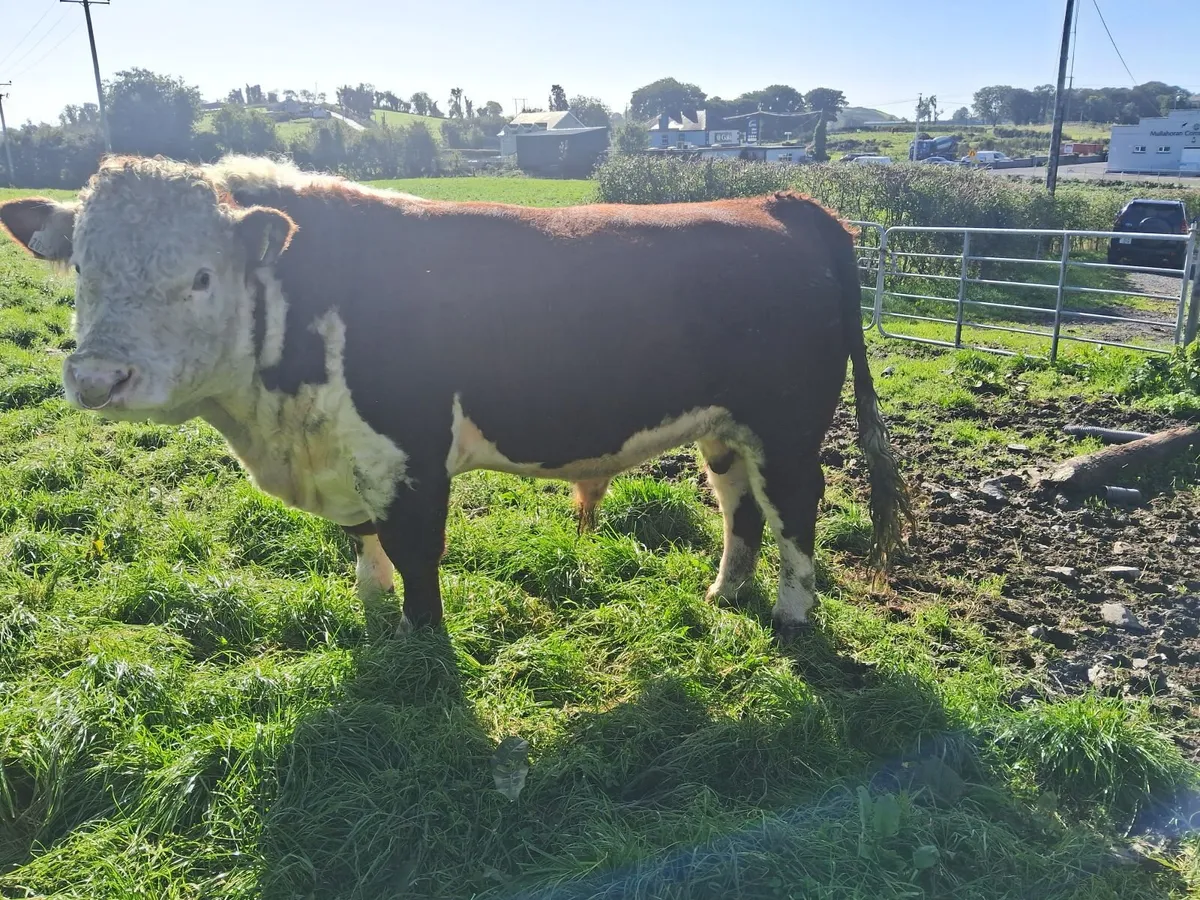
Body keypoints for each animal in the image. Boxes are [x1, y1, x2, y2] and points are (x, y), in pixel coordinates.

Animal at [0, 154, 913, 637]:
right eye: (81, 267)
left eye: (199, 276)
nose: (96, 377)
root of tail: (777, 202)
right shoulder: (347, 455)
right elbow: (363, 544)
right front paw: (372, 614)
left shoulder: (413, 455)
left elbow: (415, 554)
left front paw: (423, 645)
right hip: (725, 424)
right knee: (739, 503)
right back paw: (726, 593)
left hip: (788, 423)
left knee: (797, 504)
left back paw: (793, 613)